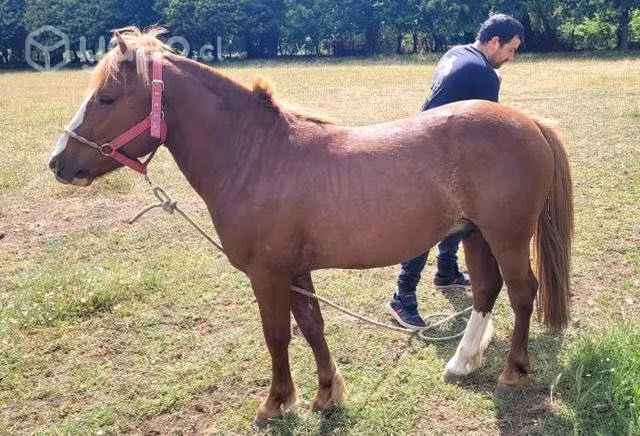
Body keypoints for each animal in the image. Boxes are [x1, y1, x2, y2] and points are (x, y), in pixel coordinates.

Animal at [48, 27, 573, 425]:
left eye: (107, 97)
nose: (59, 162)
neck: (255, 156)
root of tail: (529, 121)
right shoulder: (294, 272)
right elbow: (312, 327)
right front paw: (326, 394)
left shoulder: (267, 275)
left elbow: (277, 335)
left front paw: (276, 403)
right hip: (476, 235)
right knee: (486, 291)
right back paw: (462, 363)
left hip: (506, 237)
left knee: (521, 293)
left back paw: (513, 371)